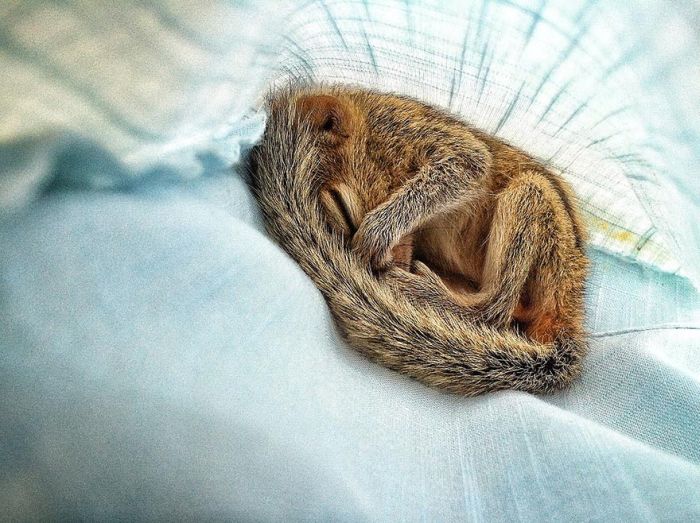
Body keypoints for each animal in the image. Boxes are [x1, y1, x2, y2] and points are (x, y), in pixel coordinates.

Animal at [249, 85, 588, 398]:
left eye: (342, 207)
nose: (384, 265)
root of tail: (569, 306)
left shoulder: (405, 127)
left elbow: (468, 161)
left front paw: (378, 230)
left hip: (532, 198)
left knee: (496, 310)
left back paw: (428, 290)